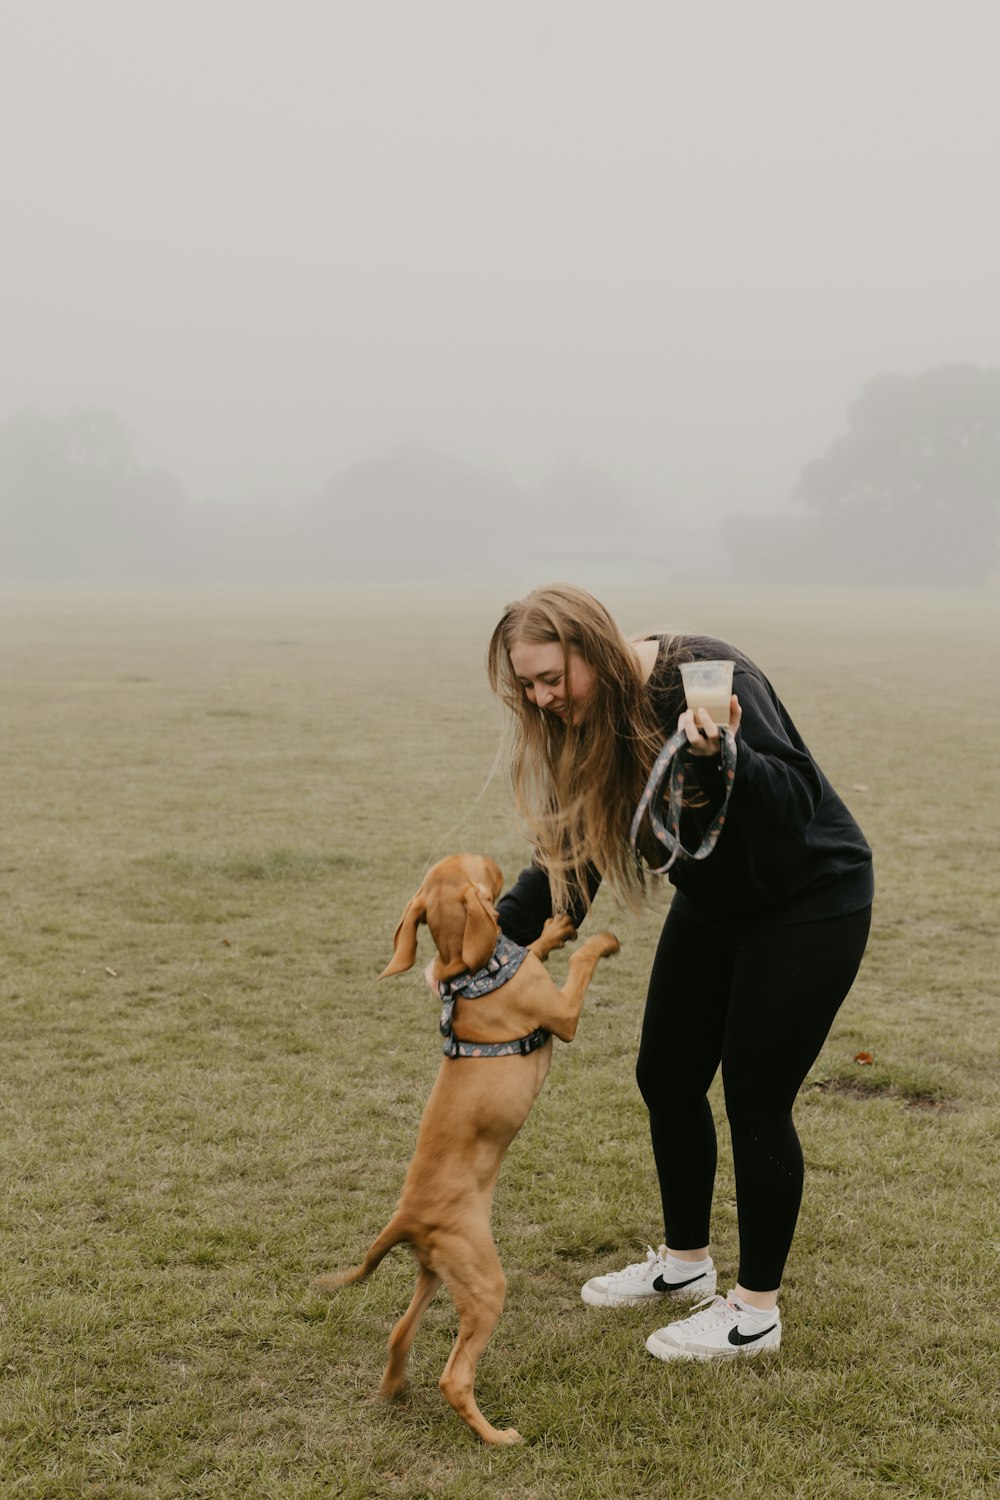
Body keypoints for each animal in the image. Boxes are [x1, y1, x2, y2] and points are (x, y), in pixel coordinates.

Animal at [316, 852, 620, 1446]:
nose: (503, 860)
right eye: (478, 865)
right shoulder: (563, 1013)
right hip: (484, 1283)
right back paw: (497, 1437)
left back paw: (395, 1391)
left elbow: (536, 947)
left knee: (398, 1333)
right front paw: (601, 941)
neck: (470, 974)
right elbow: (580, 965)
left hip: (436, 1274)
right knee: (454, 1378)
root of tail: (406, 1216)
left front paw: (552, 930)